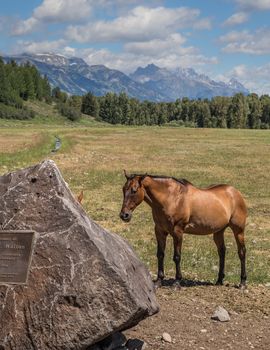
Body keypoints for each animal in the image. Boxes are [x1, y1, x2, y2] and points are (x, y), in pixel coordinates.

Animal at [119, 171, 247, 288]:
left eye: (134, 190)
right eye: (123, 189)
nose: (124, 215)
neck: (172, 198)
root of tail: (235, 192)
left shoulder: (178, 232)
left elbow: (177, 256)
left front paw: (177, 282)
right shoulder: (160, 231)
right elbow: (160, 254)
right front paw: (158, 281)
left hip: (238, 231)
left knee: (242, 252)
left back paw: (242, 282)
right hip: (218, 232)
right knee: (222, 252)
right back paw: (219, 280)